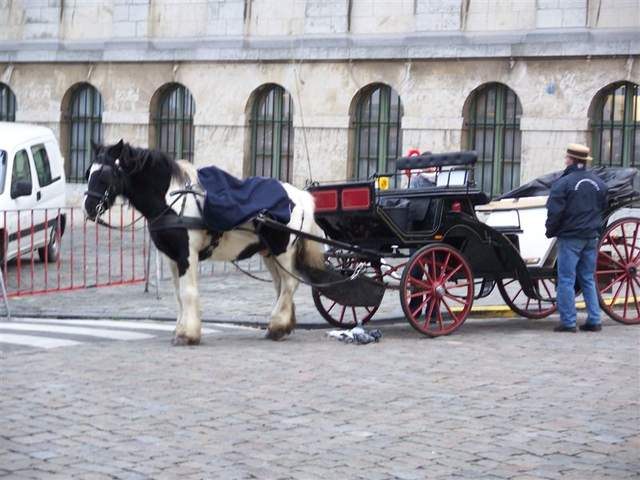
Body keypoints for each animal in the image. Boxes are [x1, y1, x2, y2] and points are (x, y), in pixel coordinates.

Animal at [83, 140, 326, 345]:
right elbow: (178, 294)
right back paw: (283, 324)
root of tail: (300, 196)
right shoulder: (171, 257)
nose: (88, 207)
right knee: (280, 285)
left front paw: (188, 334)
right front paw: (180, 329)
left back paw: (277, 326)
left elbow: (188, 292)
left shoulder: (187, 254)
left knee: (290, 284)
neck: (172, 201)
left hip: (283, 250)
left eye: (105, 174)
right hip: (269, 252)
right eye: (88, 172)